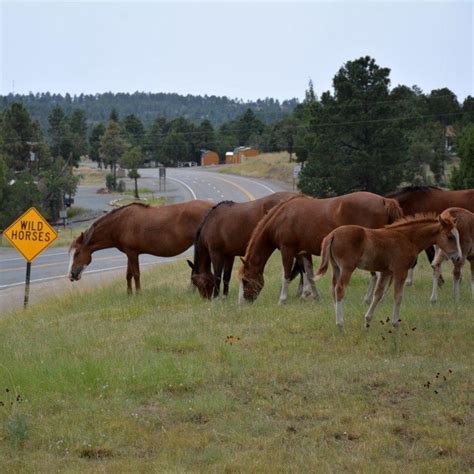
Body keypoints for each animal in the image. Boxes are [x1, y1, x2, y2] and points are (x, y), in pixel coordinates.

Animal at [68, 200, 213, 292]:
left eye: (77, 253)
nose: (71, 275)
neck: (121, 223)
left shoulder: (133, 253)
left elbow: (136, 274)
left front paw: (138, 293)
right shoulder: (129, 253)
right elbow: (129, 274)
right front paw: (129, 294)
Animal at [237, 192, 404, 304]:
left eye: (245, 280)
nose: (244, 301)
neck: (282, 217)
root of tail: (383, 200)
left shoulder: (287, 250)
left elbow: (286, 274)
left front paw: (282, 299)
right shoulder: (303, 252)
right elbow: (310, 274)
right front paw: (315, 297)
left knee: (379, 274)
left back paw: (373, 298)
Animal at [316, 215, 462, 330]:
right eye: (450, 237)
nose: (458, 257)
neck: (408, 238)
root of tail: (332, 234)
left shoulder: (386, 272)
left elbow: (378, 294)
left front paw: (367, 322)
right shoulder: (400, 270)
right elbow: (398, 296)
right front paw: (395, 323)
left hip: (336, 268)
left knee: (333, 289)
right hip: (347, 268)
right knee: (340, 289)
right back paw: (341, 324)